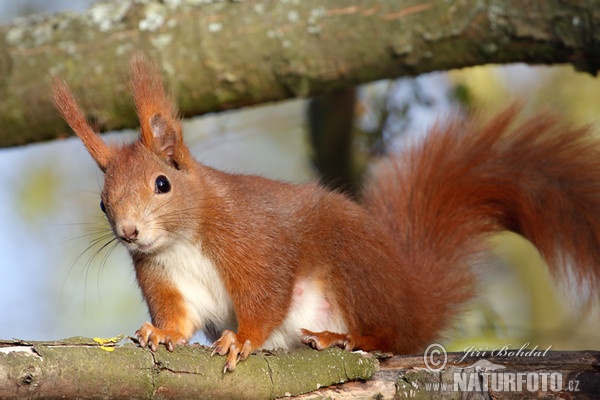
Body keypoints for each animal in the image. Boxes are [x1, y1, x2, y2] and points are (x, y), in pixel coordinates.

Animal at [51, 54, 600, 374]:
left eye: (162, 184)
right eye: (103, 203)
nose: (129, 232)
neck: (184, 238)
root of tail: (413, 298)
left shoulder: (254, 244)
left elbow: (264, 298)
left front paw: (242, 341)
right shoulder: (165, 278)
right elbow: (179, 318)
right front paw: (160, 333)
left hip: (353, 270)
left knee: (388, 335)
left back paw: (341, 337)